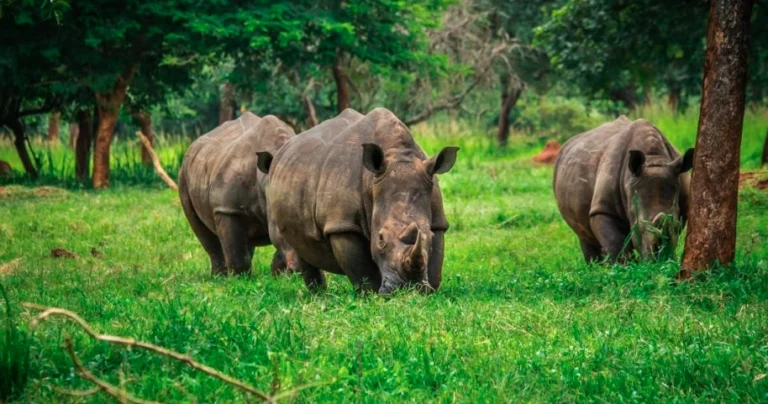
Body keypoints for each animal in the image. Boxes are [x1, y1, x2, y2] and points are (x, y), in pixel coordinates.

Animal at [179, 112, 295, 275]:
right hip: (184, 173)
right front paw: (240, 278)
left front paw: (279, 275)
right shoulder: (226, 208)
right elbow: (236, 251)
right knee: (204, 232)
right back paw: (219, 276)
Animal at [258, 108, 458, 294]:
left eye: (429, 236)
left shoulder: (438, 219)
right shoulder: (343, 224)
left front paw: (427, 291)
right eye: (380, 239)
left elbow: (435, 261)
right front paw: (373, 296)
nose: (406, 289)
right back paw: (318, 296)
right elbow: (362, 271)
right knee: (297, 248)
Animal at [553, 116, 694, 262]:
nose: (660, 260)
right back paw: (595, 265)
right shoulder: (603, 209)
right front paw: (627, 265)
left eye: (677, 225)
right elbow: (616, 244)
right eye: (638, 226)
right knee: (584, 236)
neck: (654, 159)